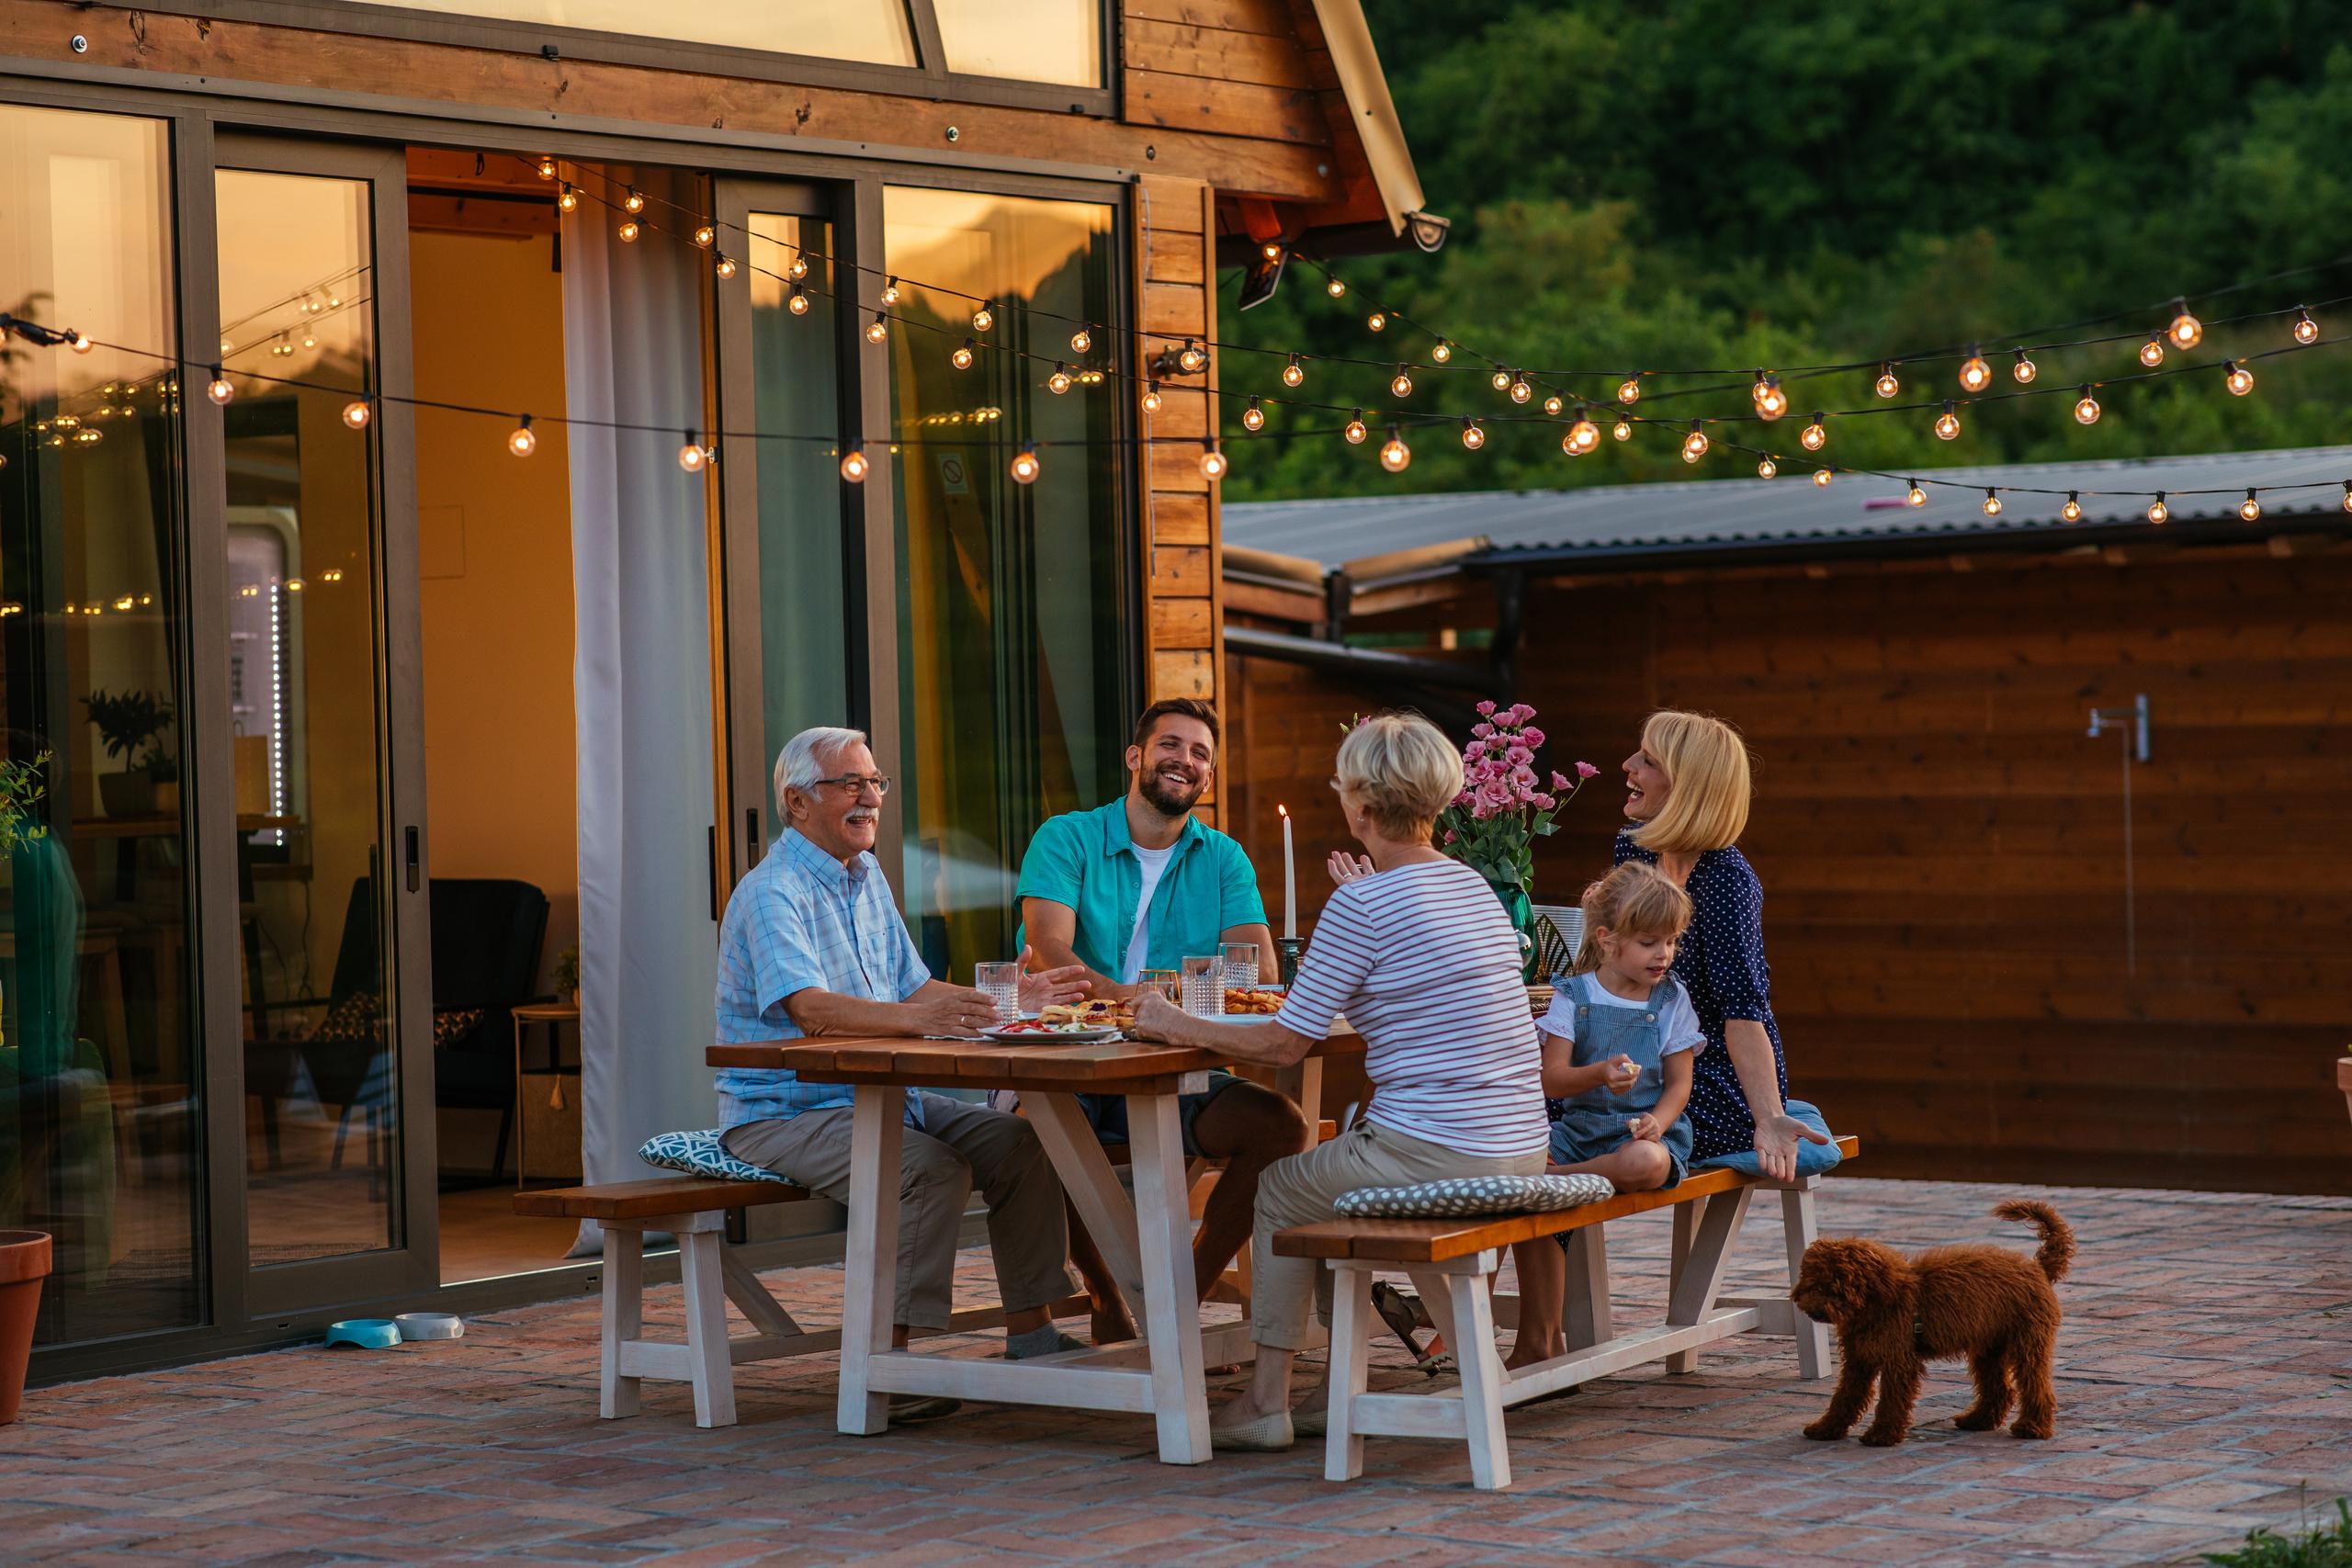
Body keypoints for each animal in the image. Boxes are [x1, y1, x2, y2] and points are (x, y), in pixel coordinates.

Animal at [1787, 1203, 2069, 1448]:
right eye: (1813, 1285)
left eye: (1837, 1289)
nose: (1816, 1311)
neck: (1877, 1304)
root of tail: (2038, 1268)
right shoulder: (1859, 1361)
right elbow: (1845, 1397)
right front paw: (1825, 1429)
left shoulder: (1899, 1361)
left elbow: (1891, 1400)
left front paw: (1882, 1435)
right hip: (1990, 1348)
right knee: (1999, 1390)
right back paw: (1977, 1421)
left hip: (2027, 1343)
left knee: (2036, 1385)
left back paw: (2032, 1427)